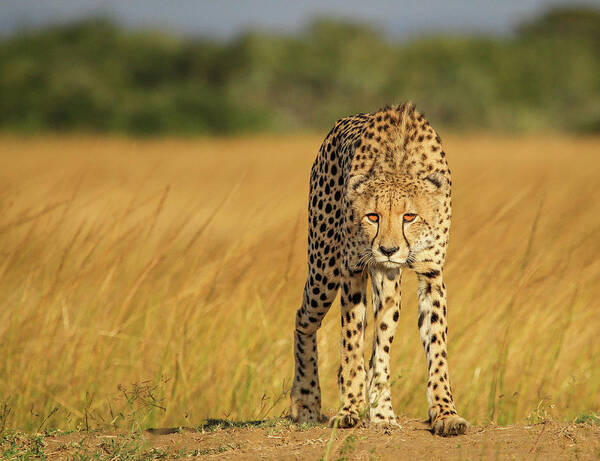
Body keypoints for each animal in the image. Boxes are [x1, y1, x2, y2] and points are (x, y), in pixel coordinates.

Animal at [290, 103, 468, 434]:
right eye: (372, 216)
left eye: (409, 216)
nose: (388, 249)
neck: (397, 165)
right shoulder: (352, 270)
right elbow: (351, 345)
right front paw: (349, 408)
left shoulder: (431, 273)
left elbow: (436, 348)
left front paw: (445, 413)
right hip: (324, 269)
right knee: (304, 319)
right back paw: (306, 401)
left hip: (386, 286)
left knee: (381, 345)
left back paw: (382, 411)